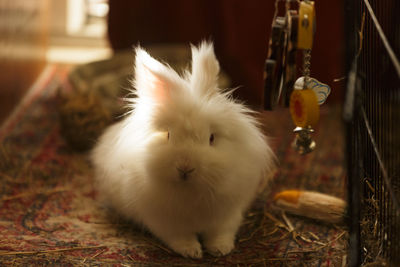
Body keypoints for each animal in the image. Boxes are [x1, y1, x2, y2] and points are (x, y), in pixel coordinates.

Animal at [91, 42, 276, 260]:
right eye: (168, 134)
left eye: (211, 138)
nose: (185, 168)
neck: (190, 190)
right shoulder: (165, 222)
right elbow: (179, 238)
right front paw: (192, 252)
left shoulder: (227, 215)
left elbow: (220, 233)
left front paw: (221, 249)